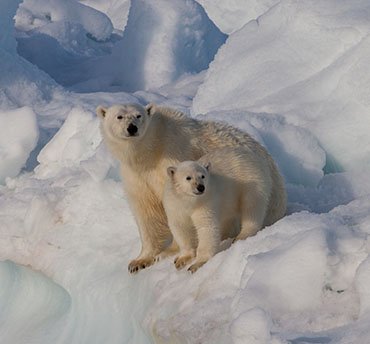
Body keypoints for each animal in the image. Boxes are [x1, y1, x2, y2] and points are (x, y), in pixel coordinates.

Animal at [96, 103, 286, 272]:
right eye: (119, 116)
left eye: (138, 115)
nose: (132, 128)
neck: (150, 150)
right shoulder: (136, 176)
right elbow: (146, 211)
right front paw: (139, 261)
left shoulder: (173, 156)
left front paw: (169, 252)